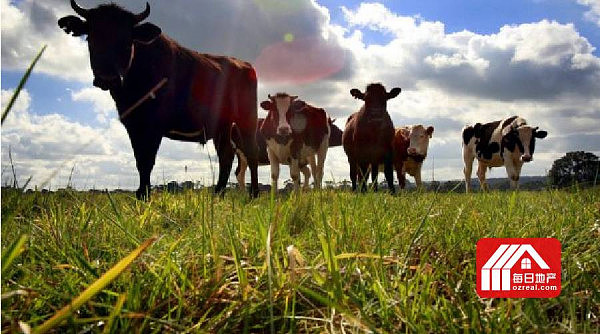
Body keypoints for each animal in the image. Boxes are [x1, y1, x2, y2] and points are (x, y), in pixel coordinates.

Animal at [56, 0, 260, 198]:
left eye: (127, 41)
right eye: (91, 37)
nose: (108, 78)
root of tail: (244, 64)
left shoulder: (153, 126)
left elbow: (148, 160)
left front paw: (145, 195)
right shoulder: (133, 125)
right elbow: (140, 160)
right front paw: (141, 194)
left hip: (247, 121)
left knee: (251, 154)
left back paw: (253, 195)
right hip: (222, 127)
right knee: (226, 155)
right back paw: (217, 195)